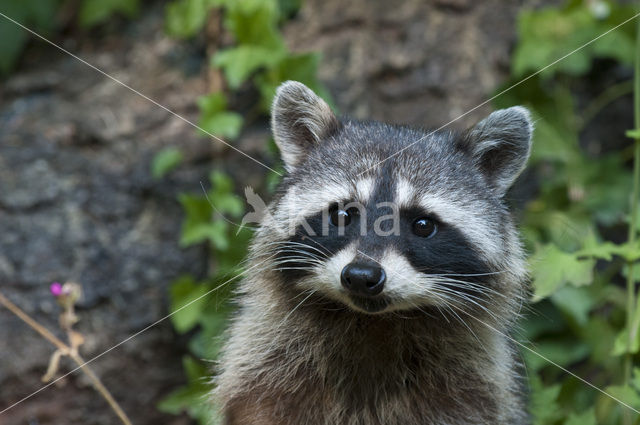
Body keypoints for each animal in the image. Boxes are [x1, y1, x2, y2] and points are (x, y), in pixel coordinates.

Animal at [212, 80, 532, 424]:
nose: (361, 276)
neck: (374, 323)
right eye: (342, 215)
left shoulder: (472, 390)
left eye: (422, 225)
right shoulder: (264, 370)